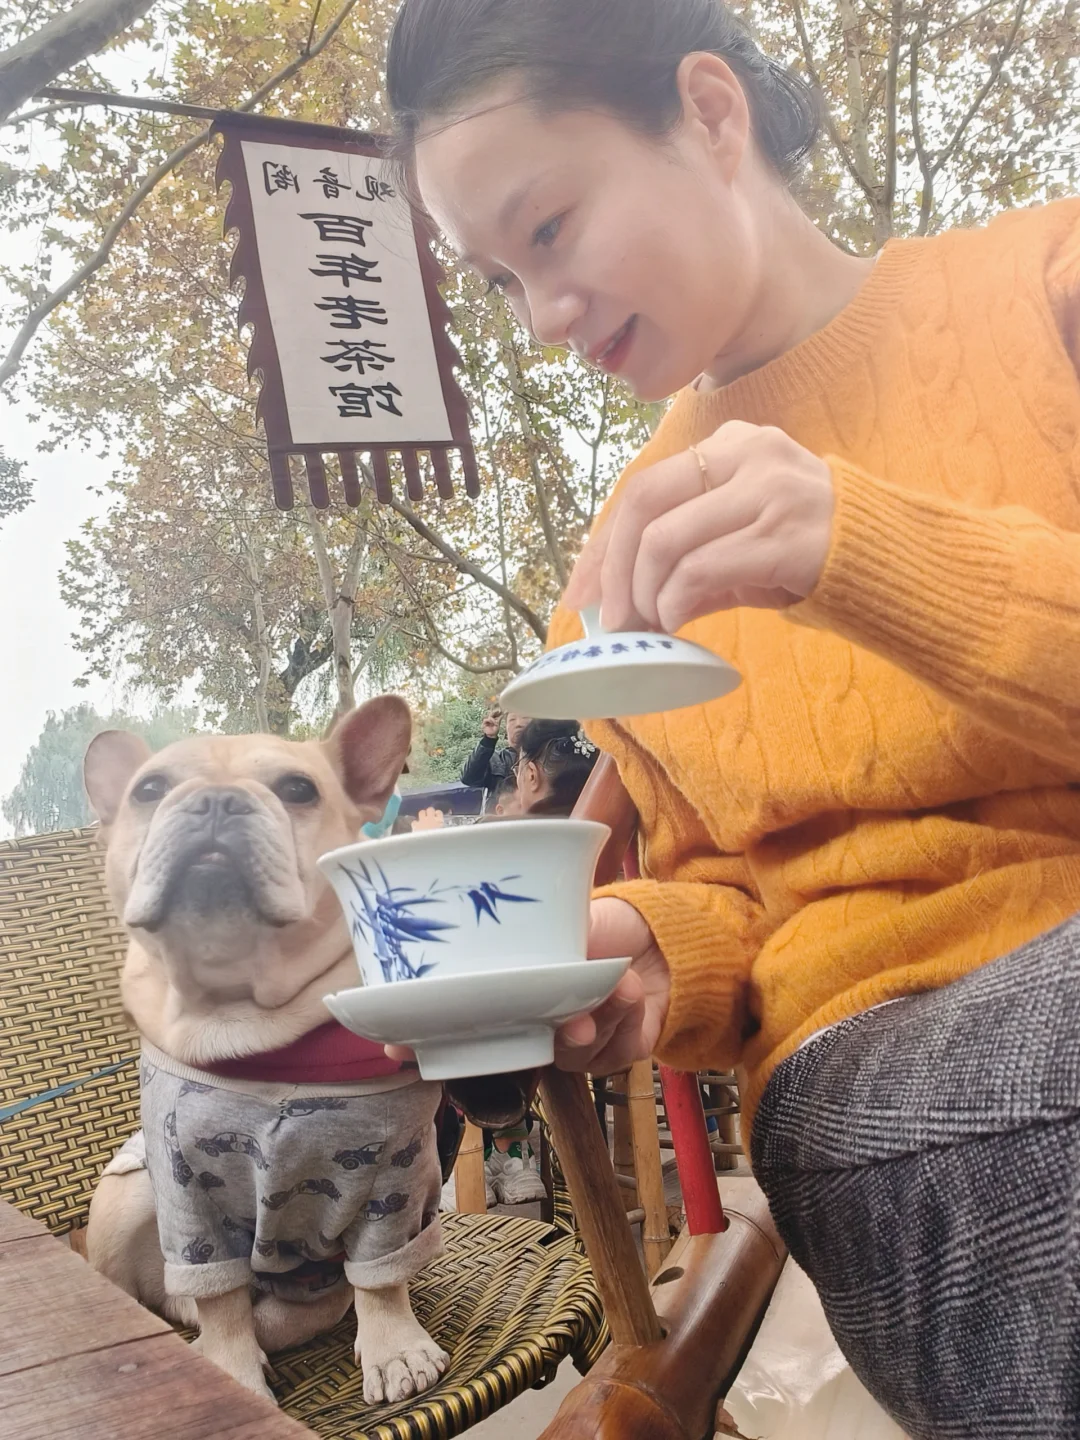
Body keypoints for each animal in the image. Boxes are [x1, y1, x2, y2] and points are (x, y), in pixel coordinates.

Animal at [83, 697, 450, 1406]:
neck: (245, 1017)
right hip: (126, 1200)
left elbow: (381, 1270)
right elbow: (219, 1293)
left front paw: (394, 1347)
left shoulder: (394, 1172)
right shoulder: (184, 1190)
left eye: (298, 789)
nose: (216, 800)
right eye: (149, 789)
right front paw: (229, 1371)